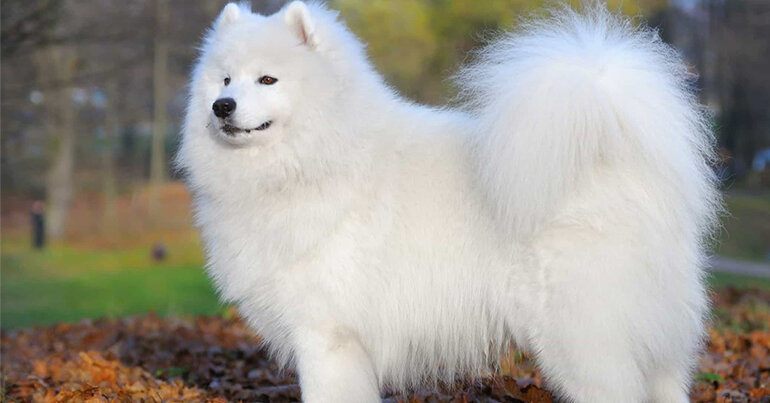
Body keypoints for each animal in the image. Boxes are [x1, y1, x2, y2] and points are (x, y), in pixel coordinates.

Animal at [178, 1, 720, 402]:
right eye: (224, 79)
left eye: (267, 80)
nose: (221, 106)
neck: (321, 156)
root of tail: (618, 163)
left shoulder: (326, 334)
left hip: (582, 339)